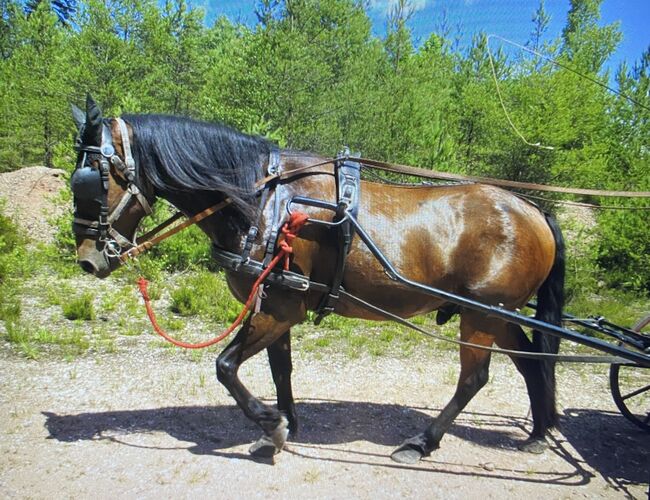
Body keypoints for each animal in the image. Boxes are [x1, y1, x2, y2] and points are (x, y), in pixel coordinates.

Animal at [68, 96, 560, 464]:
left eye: (90, 181)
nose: (88, 260)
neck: (266, 202)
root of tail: (533, 210)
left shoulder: (277, 309)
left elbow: (225, 366)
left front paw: (271, 425)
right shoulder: (277, 306)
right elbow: (280, 369)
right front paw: (283, 423)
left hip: (482, 316)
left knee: (473, 379)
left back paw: (423, 442)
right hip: (500, 315)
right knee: (531, 363)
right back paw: (538, 433)